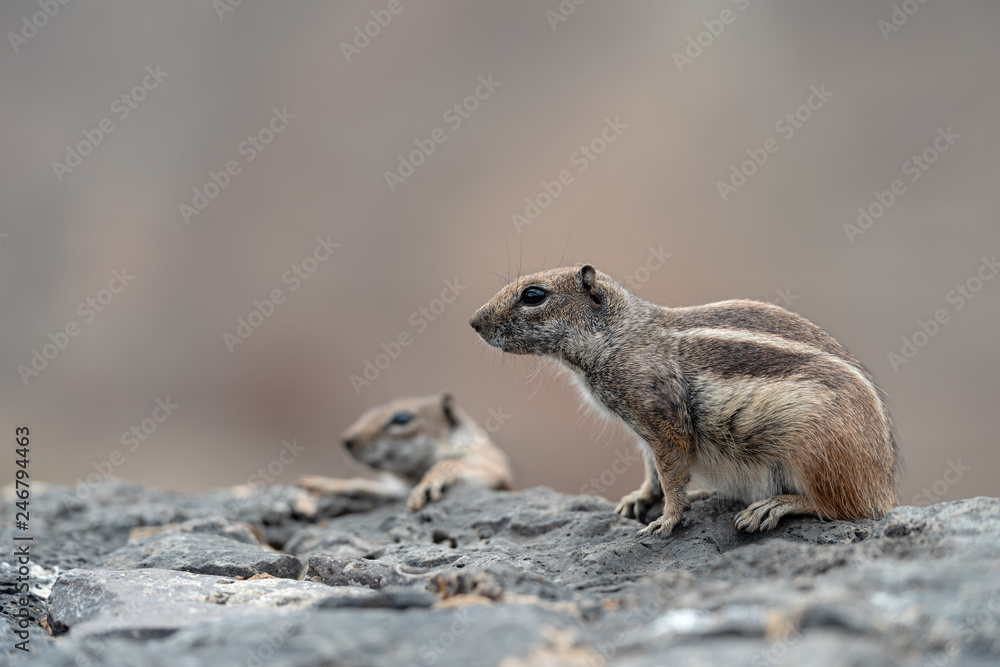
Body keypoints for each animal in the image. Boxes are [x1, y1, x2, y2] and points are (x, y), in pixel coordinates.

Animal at [298, 393, 514, 511]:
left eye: (402, 418)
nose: (347, 441)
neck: (413, 474)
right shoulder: (397, 489)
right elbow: (363, 486)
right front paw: (327, 484)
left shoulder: (493, 466)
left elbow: (450, 464)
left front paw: (428, 484)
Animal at [469, 264, 898, 537]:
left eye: (533, 295)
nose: (474, 322)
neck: (622, 334)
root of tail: (884, 487)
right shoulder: (642, 430)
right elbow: (652, 471)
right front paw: (640, 499)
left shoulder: (661, 420)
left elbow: (671, 474)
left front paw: (668, 520)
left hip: (815, 452)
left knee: (844, 508)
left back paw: (773, 506)